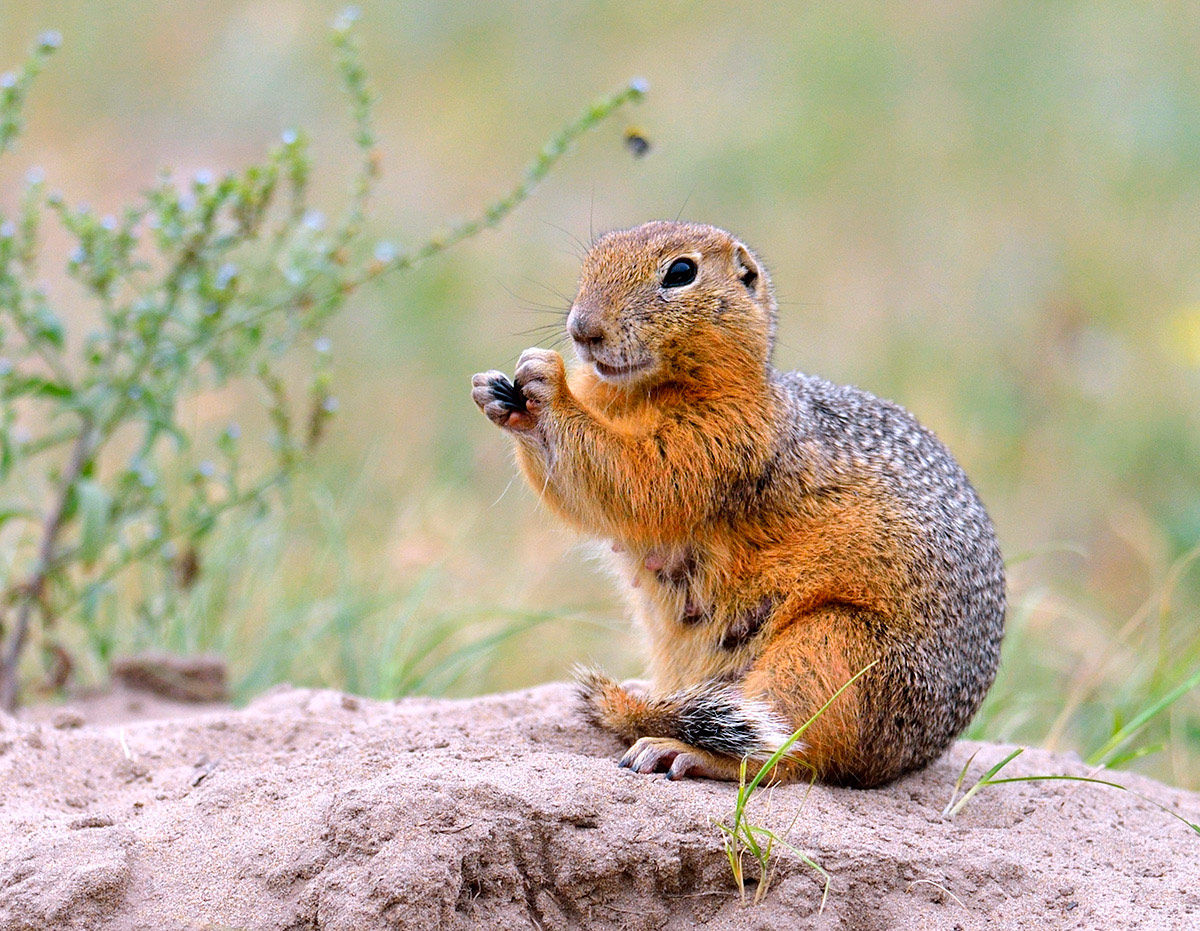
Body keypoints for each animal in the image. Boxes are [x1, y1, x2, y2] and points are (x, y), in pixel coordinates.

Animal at [468, 218, 1003, 787]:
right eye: (593, 260)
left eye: (681, 272)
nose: (582, 330)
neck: (638, 392)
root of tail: (914, 757)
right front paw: (494, 392)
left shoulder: (724, 439)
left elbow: (638, 477)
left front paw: (547, 384)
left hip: (830, 650)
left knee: (789, 757)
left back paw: (682, 751)